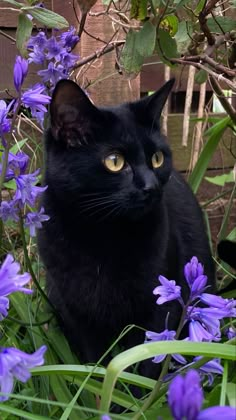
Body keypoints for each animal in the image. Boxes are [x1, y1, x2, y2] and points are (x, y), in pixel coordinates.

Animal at [37, 79, 215, 378]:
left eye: (157, 158)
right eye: (114, 161)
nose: (151, 186)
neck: (104, 237)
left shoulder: (157, 306)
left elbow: (145, 365)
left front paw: (139, 391)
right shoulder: (78, 313)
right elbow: (95, 360)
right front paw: (99, 387)